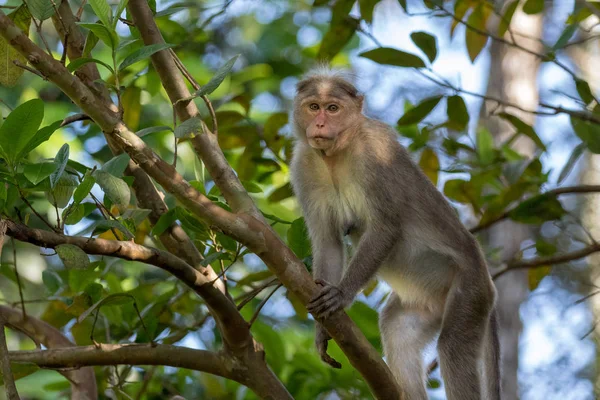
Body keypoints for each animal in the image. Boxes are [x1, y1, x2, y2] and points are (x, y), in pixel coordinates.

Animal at [290, 69, 502, 400]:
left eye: (333, 108)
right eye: (314, 107)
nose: (321, 124)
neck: (336, 156)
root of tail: (487, 276)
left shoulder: (376, 153)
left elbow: (386, 227)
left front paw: (342, 293)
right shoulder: (303, 165)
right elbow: (328, 244)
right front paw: (323, 331)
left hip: (471, 291)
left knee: (453, 348)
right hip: (427, 304)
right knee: (397, 329)